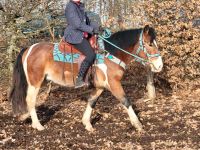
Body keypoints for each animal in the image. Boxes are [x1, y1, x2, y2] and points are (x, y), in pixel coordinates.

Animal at [9, 25, 162, 132]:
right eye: (149, 44)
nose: (159, 65)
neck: (110, 53)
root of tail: (29, 49)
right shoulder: (114, 84)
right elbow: (126, 101)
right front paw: (138, 124)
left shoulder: (100, 86)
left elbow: (92, 101)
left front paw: (87, 123)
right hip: (35, 82)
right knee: (30, 100)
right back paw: (38, 125)